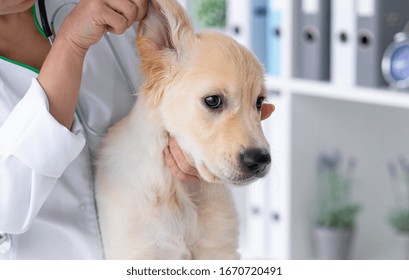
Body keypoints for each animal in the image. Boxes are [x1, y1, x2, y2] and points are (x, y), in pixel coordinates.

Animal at [95, 0, 270, 260]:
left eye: (259, 102)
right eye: (213, 100)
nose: (260, 159)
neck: (177, 190)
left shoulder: (220, 248)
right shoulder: (137, 251)